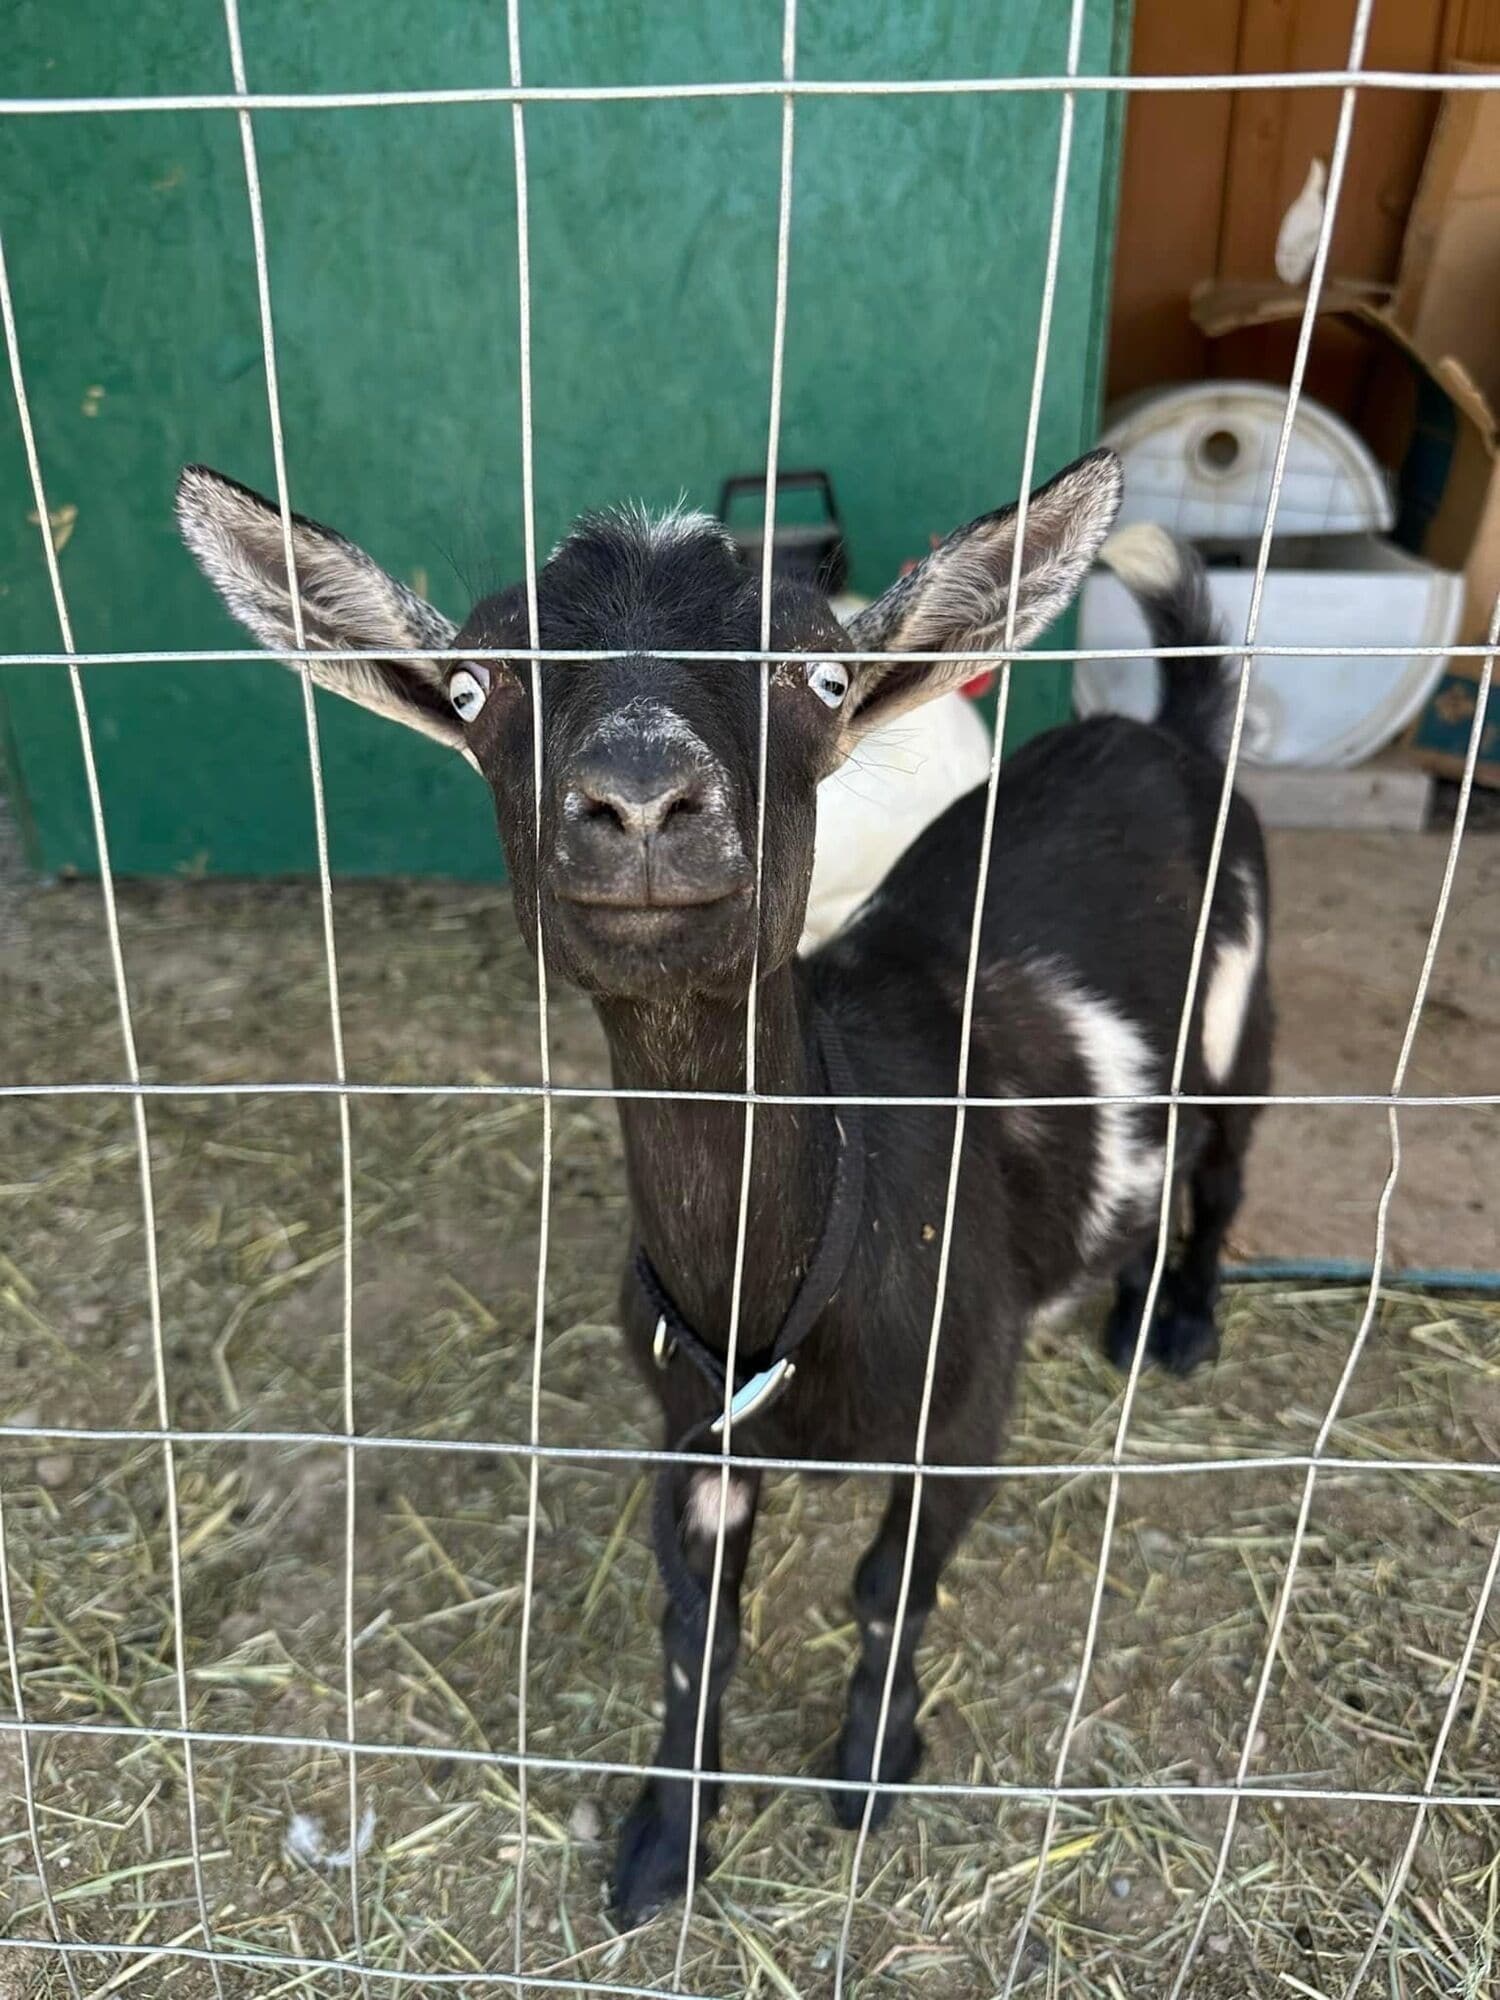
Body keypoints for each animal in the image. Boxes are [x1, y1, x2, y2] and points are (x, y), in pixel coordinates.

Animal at [176, 450, 1272, 1922]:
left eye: (821, 676)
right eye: (474, 685)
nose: (641, 801)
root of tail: (1175, 737)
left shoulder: (964, 1412)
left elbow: (885, 1588)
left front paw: (869, 1768)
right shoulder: (691, 1429)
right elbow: (702, 1625)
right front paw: (662, 1843)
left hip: (1247, 1024)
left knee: (1226, 1164)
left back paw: (1184, 1323)